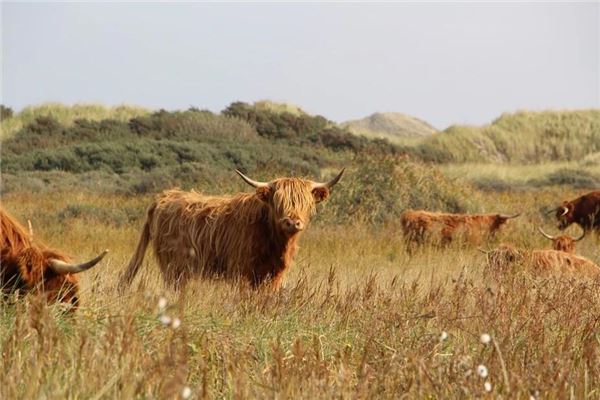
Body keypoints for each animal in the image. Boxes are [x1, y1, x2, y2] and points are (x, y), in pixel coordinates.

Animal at [118, 169, 342, 290]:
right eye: (278, 202)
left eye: (305, 203)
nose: (292, 222)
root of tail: (163, 197)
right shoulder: (240, 271)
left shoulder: (274, 276)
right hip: (174, 267)